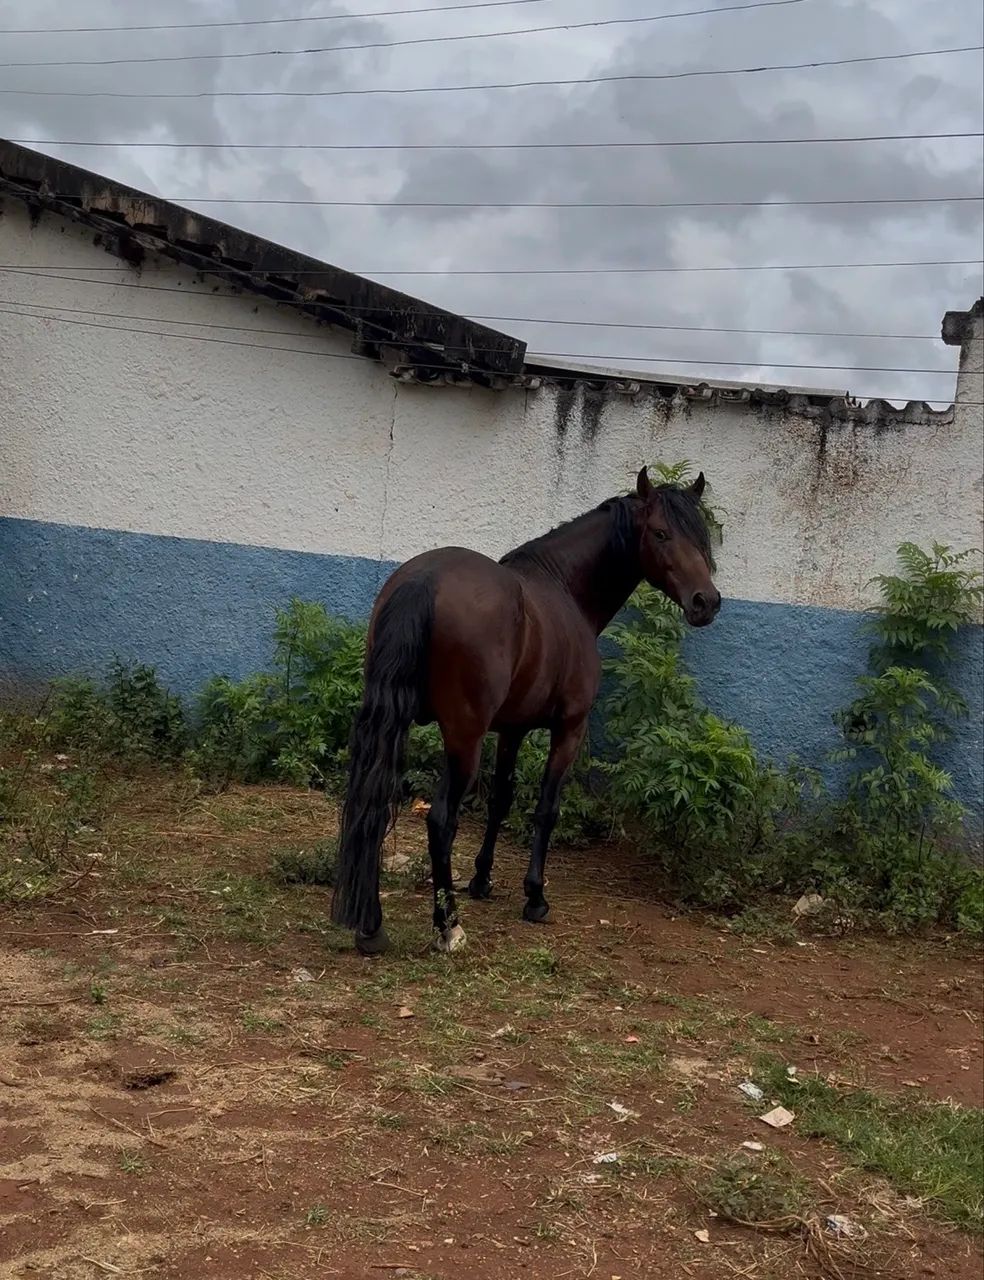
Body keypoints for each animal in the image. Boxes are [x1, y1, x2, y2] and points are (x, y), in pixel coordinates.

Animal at [331, 467, 721, 955]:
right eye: (662, 533)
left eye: (701, 537)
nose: (707, 602)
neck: (565, 590)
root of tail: (425, 581)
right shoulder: (568, 728)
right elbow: (546, 808)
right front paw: (535, 897)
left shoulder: (511, 730)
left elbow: (501, 799)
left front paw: (482, 880)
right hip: (464, 740)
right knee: (441, 820)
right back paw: (448, 926)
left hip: (394, 724)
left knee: (375, 802)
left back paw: (372, 927)